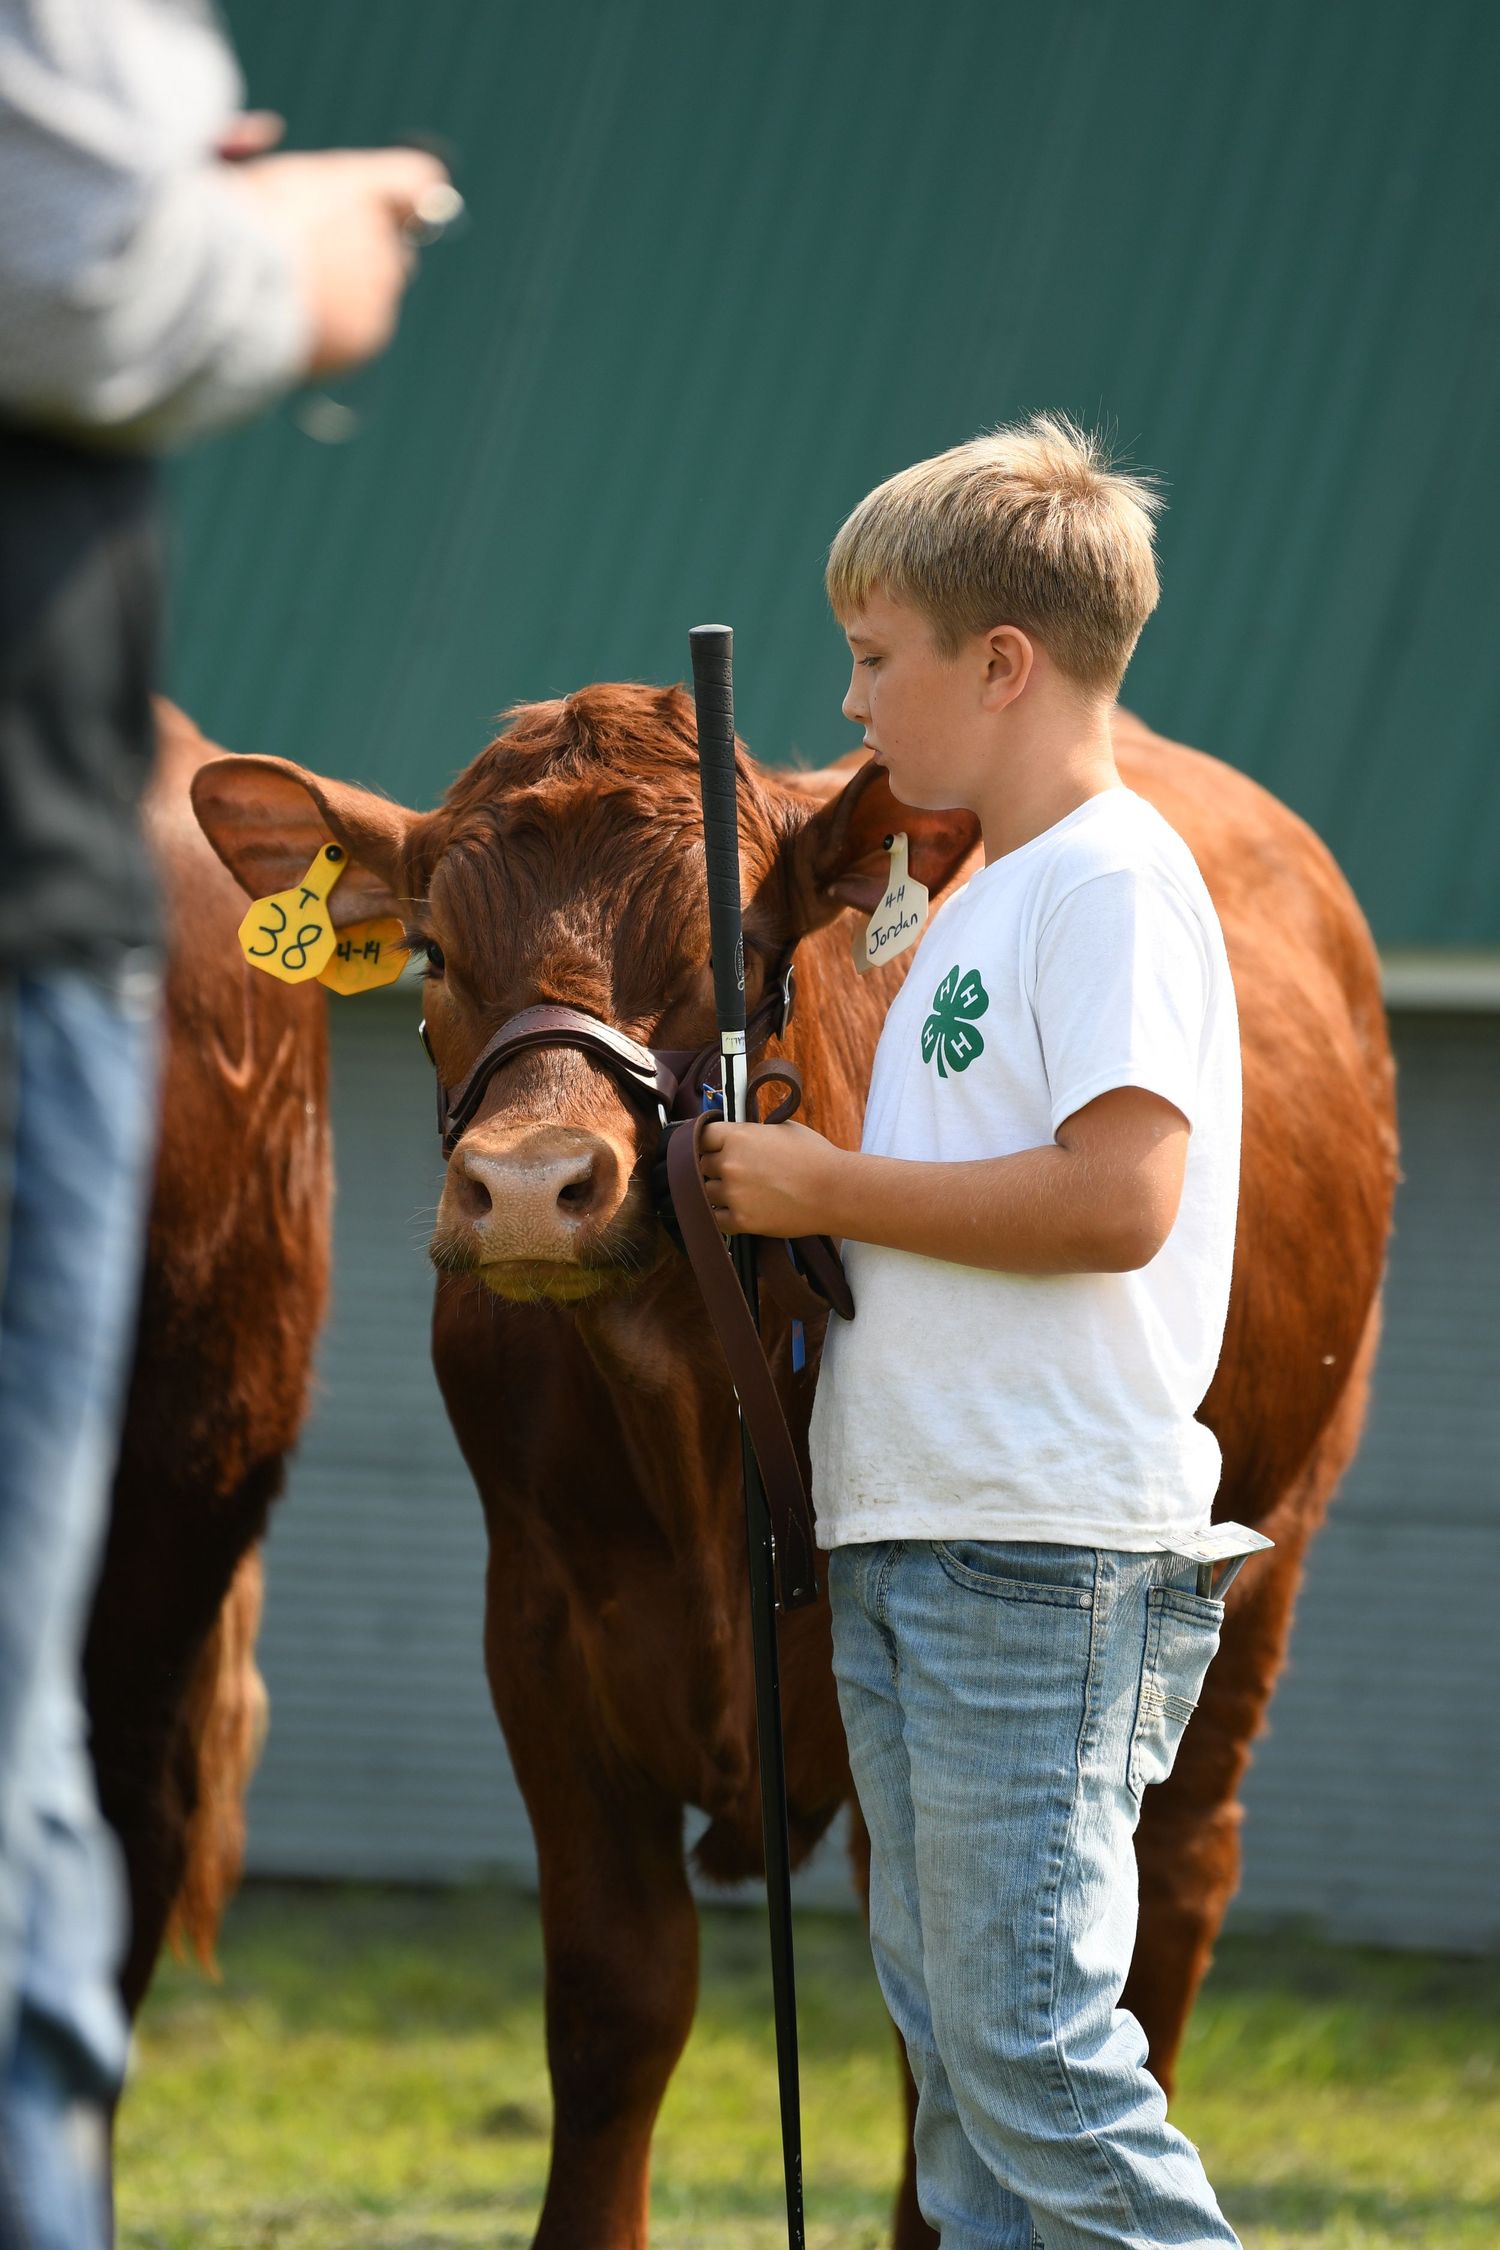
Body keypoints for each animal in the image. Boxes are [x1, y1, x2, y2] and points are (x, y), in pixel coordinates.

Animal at [192, 681, 1398, 2250]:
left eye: (740, 954)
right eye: (439, 953)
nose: (527, 1186)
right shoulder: (538, 1636)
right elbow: (618, 1999)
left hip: (1268, 1533)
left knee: (1165, 1895)